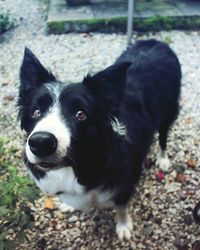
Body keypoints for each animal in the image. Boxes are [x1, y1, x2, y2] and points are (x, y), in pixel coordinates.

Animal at [18, 39, 181, 240]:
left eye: (81, 114)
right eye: (36, 112)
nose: (41, 143)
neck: (79, 165)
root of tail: (155, 41)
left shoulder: (123, 185)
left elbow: (121, 207)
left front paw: (124, 226)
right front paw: (68, 205)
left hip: (169, 112)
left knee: (163, 136)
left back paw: (163, 159)